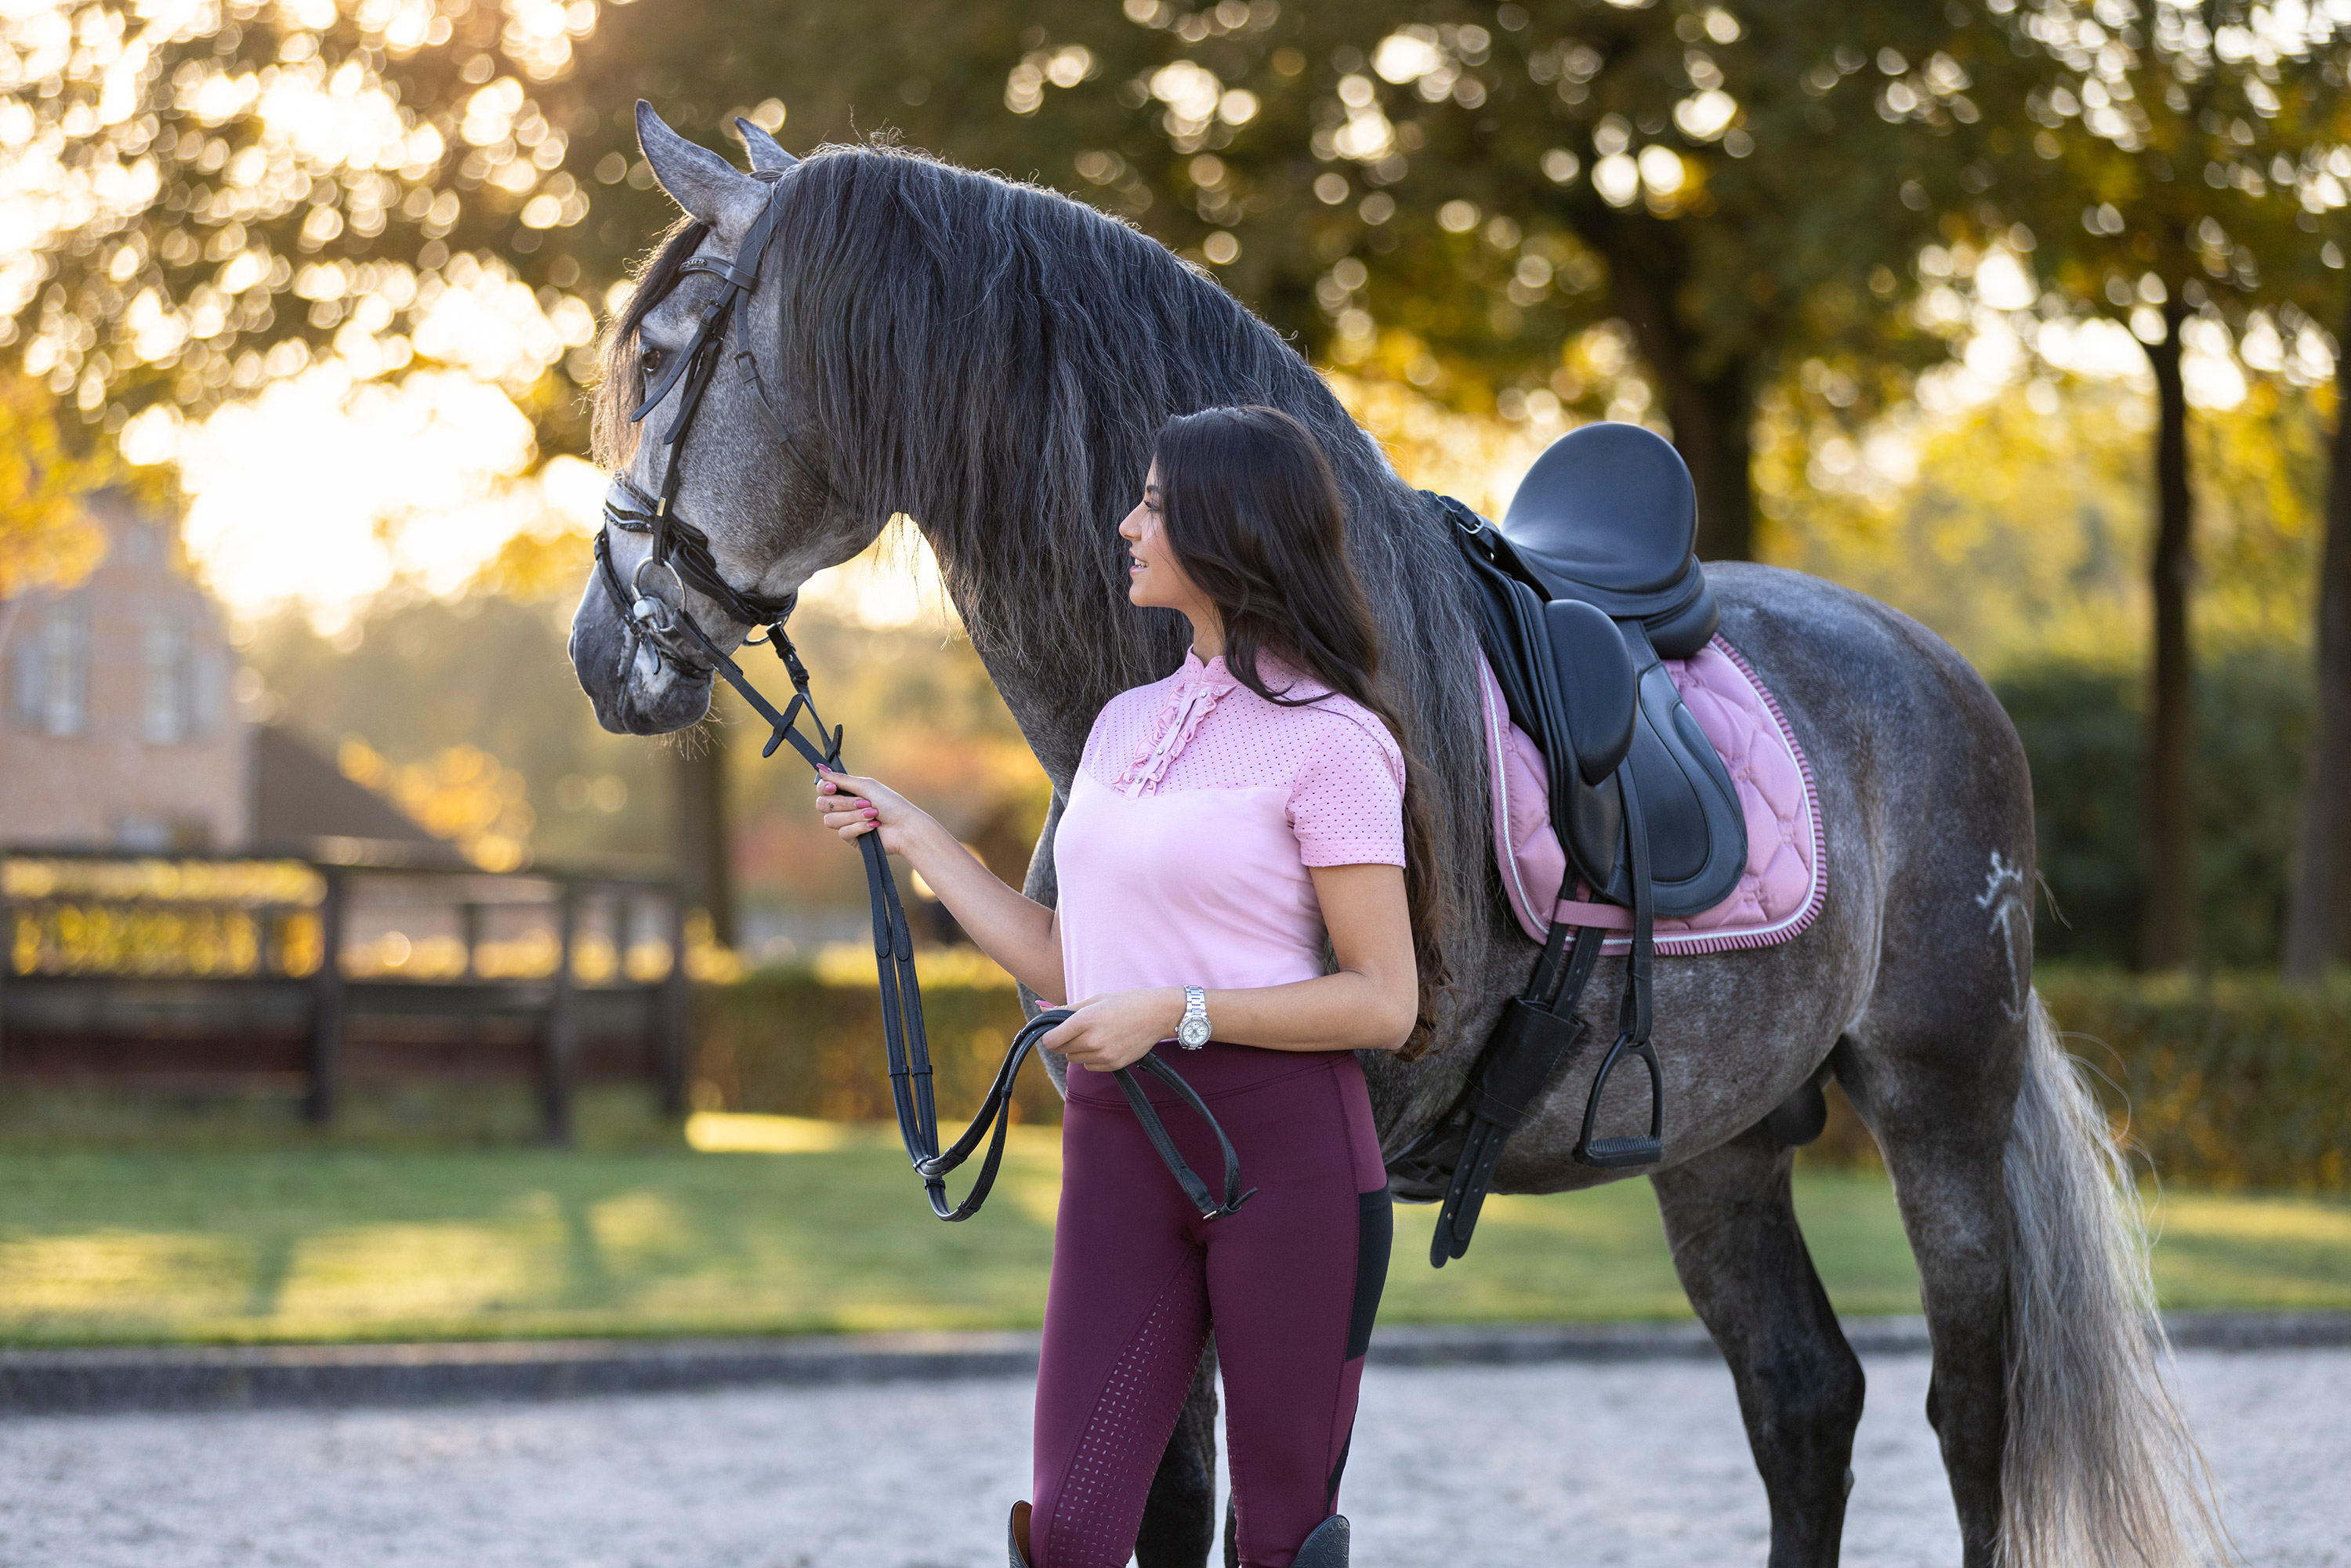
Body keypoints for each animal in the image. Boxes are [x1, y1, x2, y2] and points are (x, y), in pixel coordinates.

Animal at [569, 103, 2219, 1561]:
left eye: (656, 355)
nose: (600, 650)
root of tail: (1938, 672)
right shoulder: (1149, 1165)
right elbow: (1156, 1500)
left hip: (1941, 1099)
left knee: (1969, 1409)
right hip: (1723, 1137)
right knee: (1805, 1400)